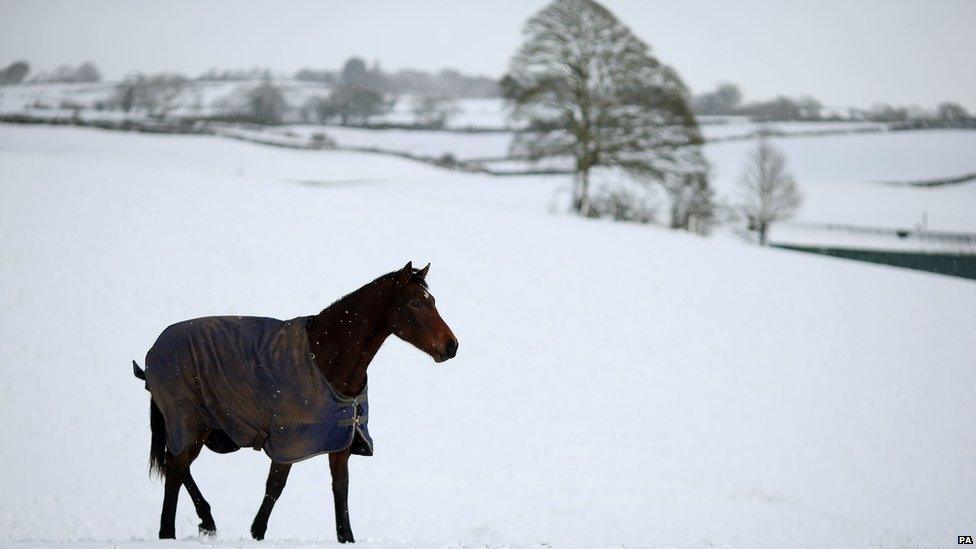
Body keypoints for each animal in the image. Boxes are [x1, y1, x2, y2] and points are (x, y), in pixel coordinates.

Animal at [132, 262, 458, 542]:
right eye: (414, 303)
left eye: (432, 300)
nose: (451, 346)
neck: (327, 358)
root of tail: (153, 353)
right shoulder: (287, 440)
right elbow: (274, 488)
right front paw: (256, 533)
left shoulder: (341, 441)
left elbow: (341, 490)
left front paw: (347, 538)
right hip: (190, 423)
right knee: (177, 466)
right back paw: (203, 522)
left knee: (175, 473)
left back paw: (172, 531)